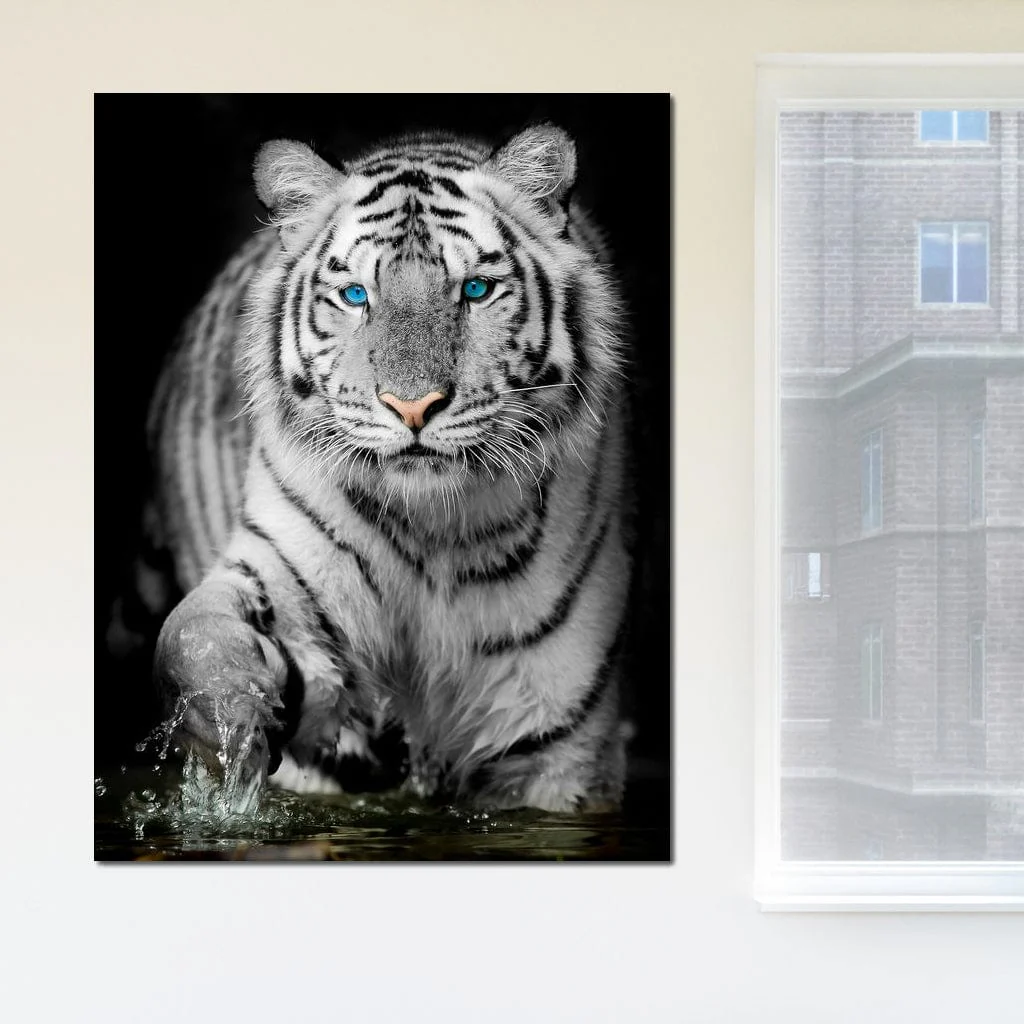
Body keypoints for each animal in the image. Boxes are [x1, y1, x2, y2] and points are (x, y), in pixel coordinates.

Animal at [142, 122, 634, 813]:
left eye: (475, 290)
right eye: (356, 296)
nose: (413, 406)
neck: (435, 529)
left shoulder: (557, 744)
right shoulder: (282, 572)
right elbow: (195, 634)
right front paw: (229, 719)